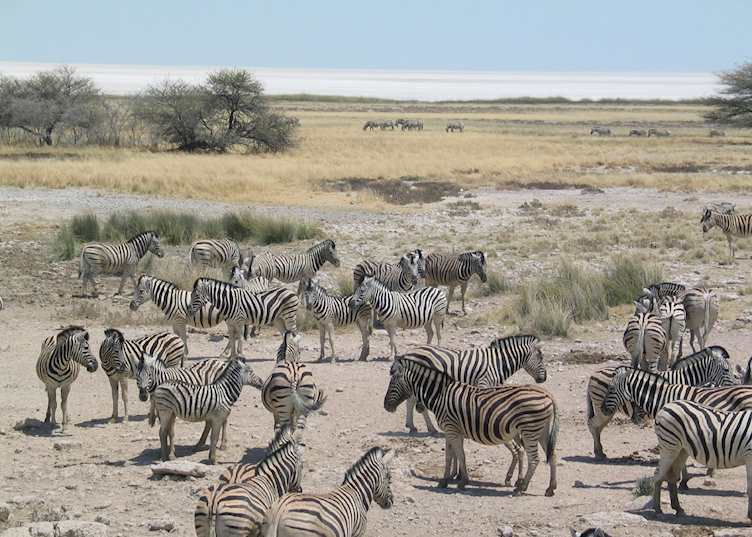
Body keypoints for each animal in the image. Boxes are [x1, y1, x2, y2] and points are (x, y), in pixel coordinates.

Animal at [384, 356, 558, 496]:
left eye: (392, 382)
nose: (386, 406)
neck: (441, 395)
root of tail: (547, 394)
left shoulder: (452, 429)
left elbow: (460, 455)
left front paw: (462, 481)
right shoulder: (452, 431)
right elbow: (450, 455)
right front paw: (446, 480)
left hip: (530, 431)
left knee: (534, 459)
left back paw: (521, 488)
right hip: (541, 431)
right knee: (552, 455)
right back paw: (550, 488)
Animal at [586, 346, 736, 459]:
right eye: (726, 370)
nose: (736, 385)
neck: (684, 380)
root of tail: (594, 374)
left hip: (607, 411)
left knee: (597, 427)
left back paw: (599, 451)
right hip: (602, 409)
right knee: (593, 425)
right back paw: (598, 453)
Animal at [602, 367, 752, 487]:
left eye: (611, 389)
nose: (603, 410)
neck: (662, 398)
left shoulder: (679, 428)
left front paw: (682, 480)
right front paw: (681, 479)